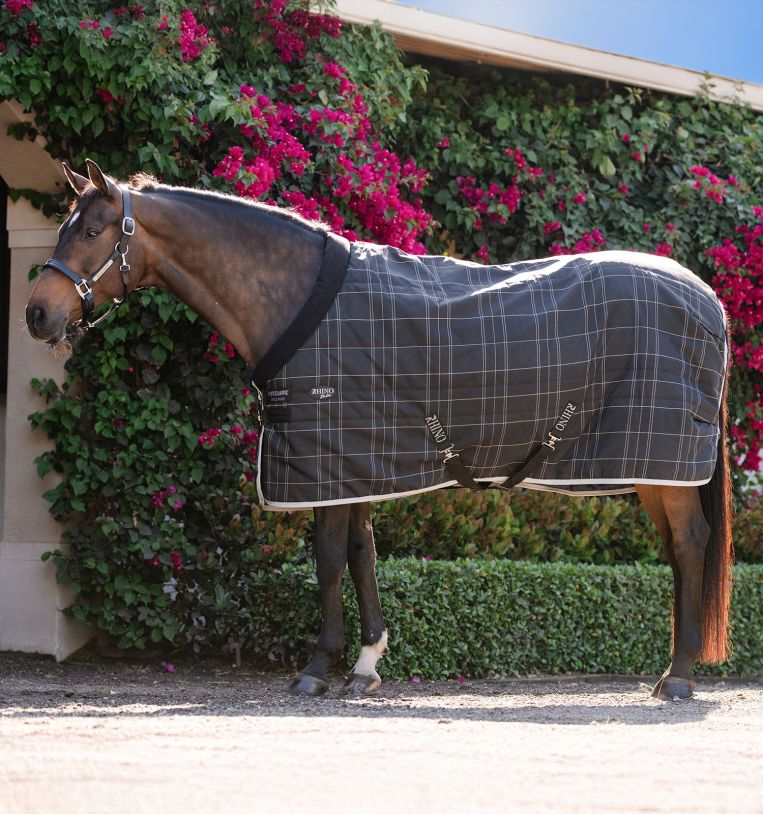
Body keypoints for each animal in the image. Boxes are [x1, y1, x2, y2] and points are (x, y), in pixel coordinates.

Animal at [25, 160, 733, 701]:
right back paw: (672, 669)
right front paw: (366, 664)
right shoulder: (353, 462)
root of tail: (708, 299)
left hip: (666, 464)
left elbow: (329, 559)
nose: (37, 313)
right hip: (653, 469)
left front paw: (318, 668)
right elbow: (362, 554)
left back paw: (678, 678)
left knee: (692, 544)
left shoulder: (324, 458)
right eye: (63, 228)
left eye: (93, 230)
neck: (298, 297)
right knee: (679, 551)